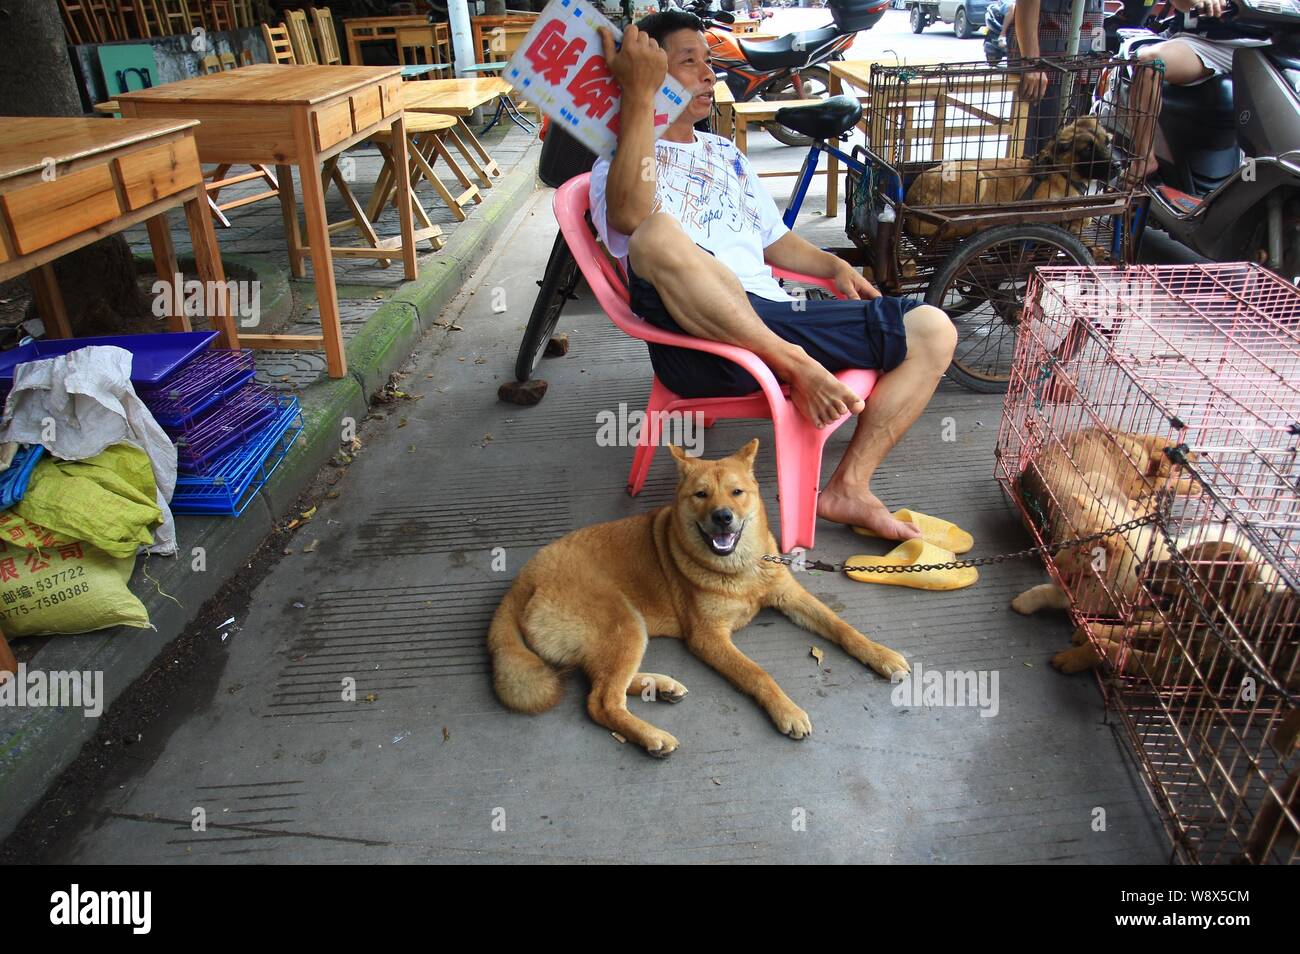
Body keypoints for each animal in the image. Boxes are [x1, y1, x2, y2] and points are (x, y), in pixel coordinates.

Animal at [483, 441, 909, 764]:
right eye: (700, 494)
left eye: (737, 492)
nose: (723, 517)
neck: (740, 569)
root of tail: (523, 581)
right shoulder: (709, 638)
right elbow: (758, 673)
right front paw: (786, 710)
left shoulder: (791, 596)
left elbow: (842, 627)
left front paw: (880, 654)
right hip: (624, 623)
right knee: (601, 702)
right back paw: (651, 735)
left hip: (619, 635)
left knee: (601, 684)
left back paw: (659, 686)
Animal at [904, 115, 1118, 239]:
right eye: (1087, 149)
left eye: (1107, 142)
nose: (1119, 166)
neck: (1061, 172)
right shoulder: (1039, 208)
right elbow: (1082, 217)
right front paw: (1072, 223)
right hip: (976, 176)